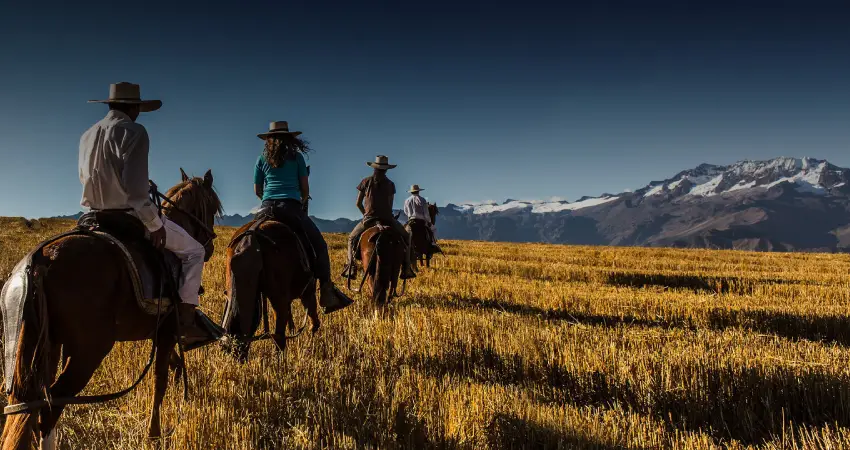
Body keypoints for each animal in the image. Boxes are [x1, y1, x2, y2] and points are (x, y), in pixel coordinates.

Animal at [0, 169, 222, 446]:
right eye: (212, 206)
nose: (209, 247)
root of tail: (42, 260)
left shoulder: (161, 331)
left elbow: (170, 366)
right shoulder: (169, 330)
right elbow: (159, 380)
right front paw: (154, 434)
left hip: (47, 347)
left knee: (32, 404)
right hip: (88, 352)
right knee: (52, 405)